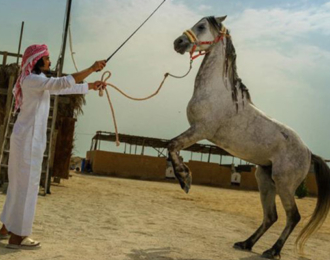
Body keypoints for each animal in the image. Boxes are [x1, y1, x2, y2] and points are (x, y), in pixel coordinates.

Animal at [169, 15, 330, 258]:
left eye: (201, 26)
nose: (178, 43)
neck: (216, 91)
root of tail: (309, 153)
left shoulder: (200, 130)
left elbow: (172, 146)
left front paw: (185, 180)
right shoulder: (196, 131)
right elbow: (173, 148)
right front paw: (184, 177)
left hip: (284, 184)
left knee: (293, 216)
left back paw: (272, 251)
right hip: (264, 179)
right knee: (271, 216)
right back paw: (246, 244)